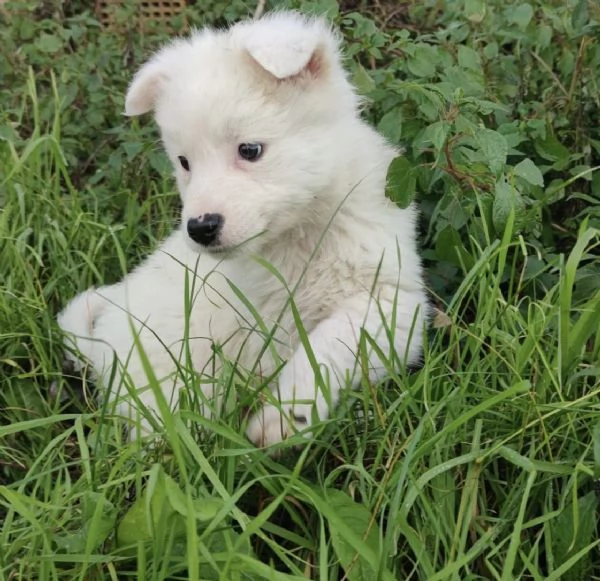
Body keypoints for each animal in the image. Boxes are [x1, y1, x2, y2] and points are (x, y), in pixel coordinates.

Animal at [58, 11, 428, 446]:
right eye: (184, 162)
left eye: (249, 150)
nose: (200, 228)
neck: (300, 238)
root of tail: (100, 341)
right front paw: (285, 418)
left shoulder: (390, 302)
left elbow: (329, 344)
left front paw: (289, 415)